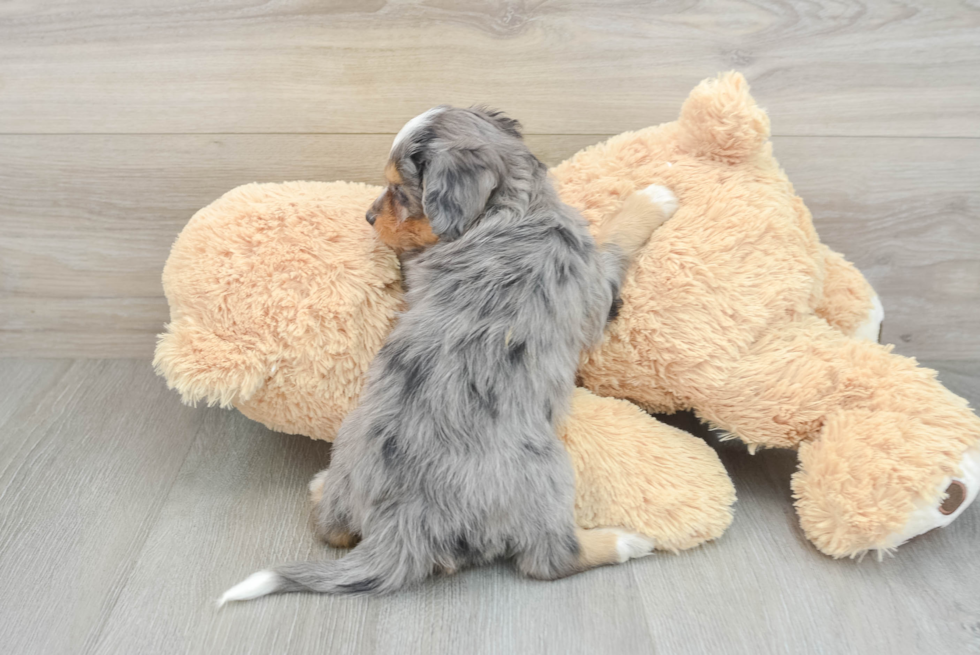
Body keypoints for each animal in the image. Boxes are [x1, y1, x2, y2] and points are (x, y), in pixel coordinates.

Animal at [220, 107, 680, 604]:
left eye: (401, 191)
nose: (367, 217)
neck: (511, 210)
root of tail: (402, 525)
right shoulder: (593, 288)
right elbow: (612, 240)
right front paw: (653, 196)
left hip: (350, 441)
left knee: (331, 530)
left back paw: (322, 488)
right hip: (547, 471)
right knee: (548, 559)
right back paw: (625, 541)